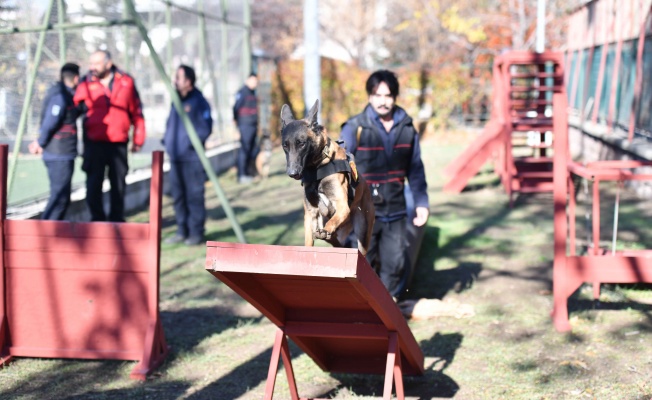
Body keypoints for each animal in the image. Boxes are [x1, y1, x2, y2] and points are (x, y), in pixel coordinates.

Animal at [278, 100, 374, 256]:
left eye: (301, 143)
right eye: (285, 146)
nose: (292, 173)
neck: (317, 167)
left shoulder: (342, 206)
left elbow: (332, 221)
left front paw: (327, 229)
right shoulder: (310, 213)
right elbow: (308, 241)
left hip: (363, 233)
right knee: (336, 242)